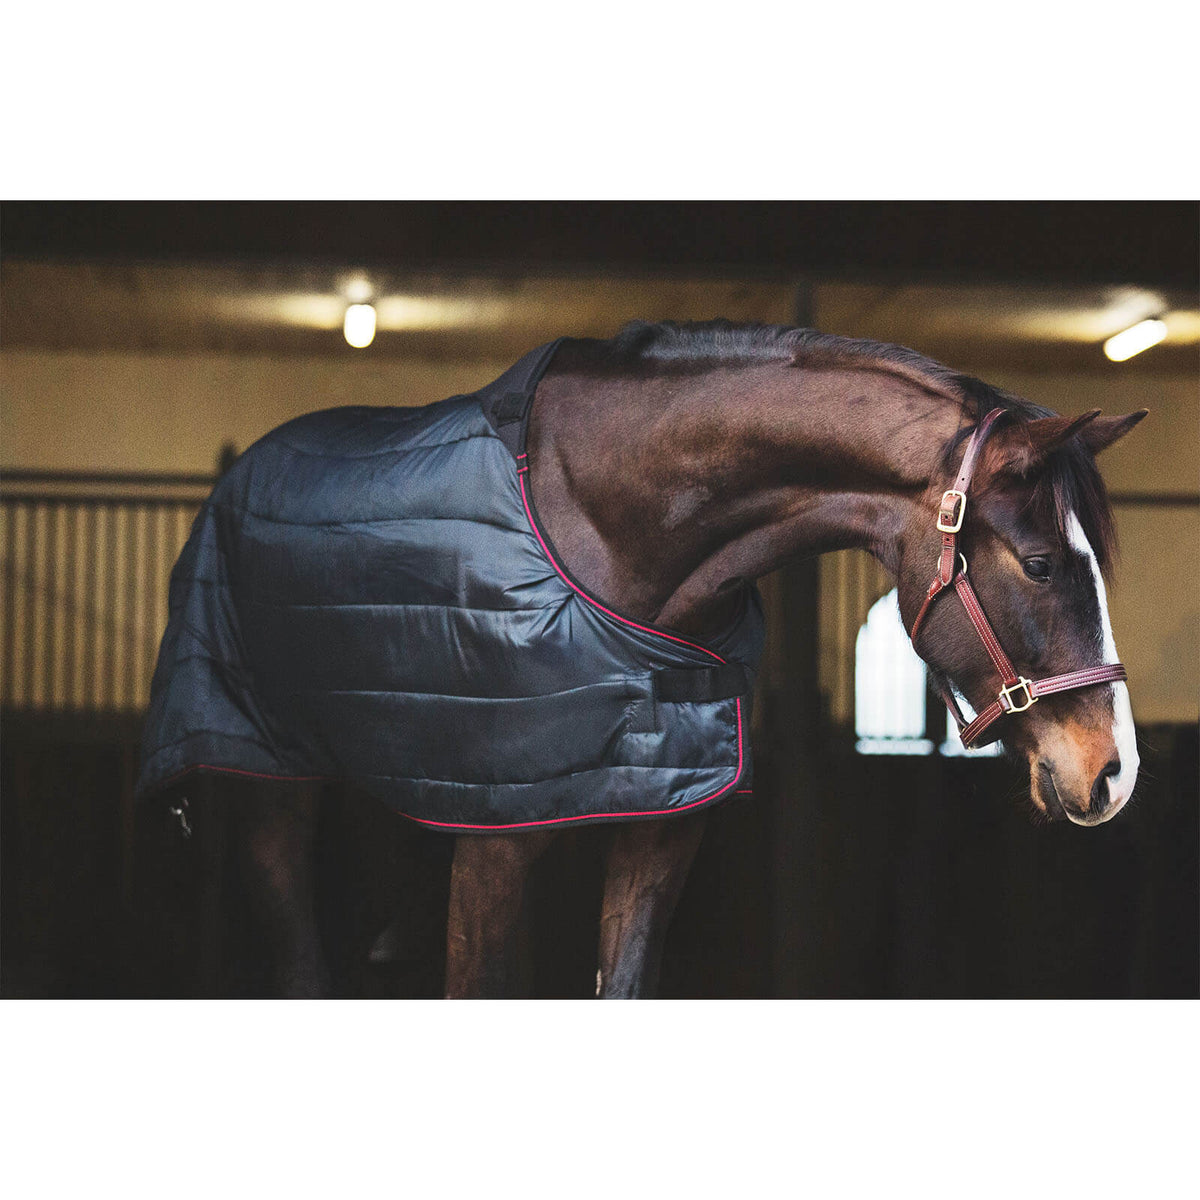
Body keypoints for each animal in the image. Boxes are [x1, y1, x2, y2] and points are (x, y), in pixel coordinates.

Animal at [139, 321, 1146, 998]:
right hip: (268, 788)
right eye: (1043, 563)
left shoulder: (662, 825)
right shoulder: (495, 842)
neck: (614, 530)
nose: (1114, 774)